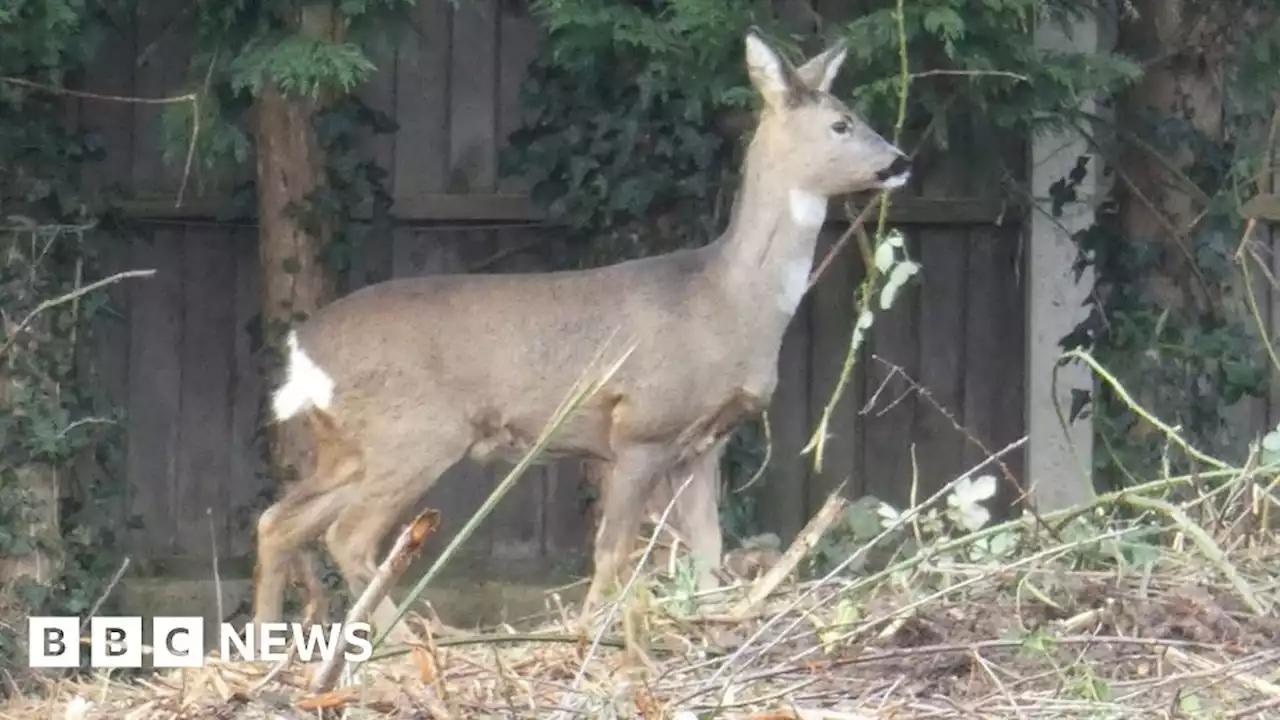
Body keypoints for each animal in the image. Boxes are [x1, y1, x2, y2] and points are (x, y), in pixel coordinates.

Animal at [249, 29, 911, 645]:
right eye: (842, 123)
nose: (900, 159)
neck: (727, 301)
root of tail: (303, 351)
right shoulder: (642, 427)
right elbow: (612, 552)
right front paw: (591, 632)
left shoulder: (704, 444)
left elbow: (708, 551)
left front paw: (709, 622)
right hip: (413, 431)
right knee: (348, 536)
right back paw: (405, 640)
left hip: (350, 446)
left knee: (278, 521)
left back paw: (262, 642)